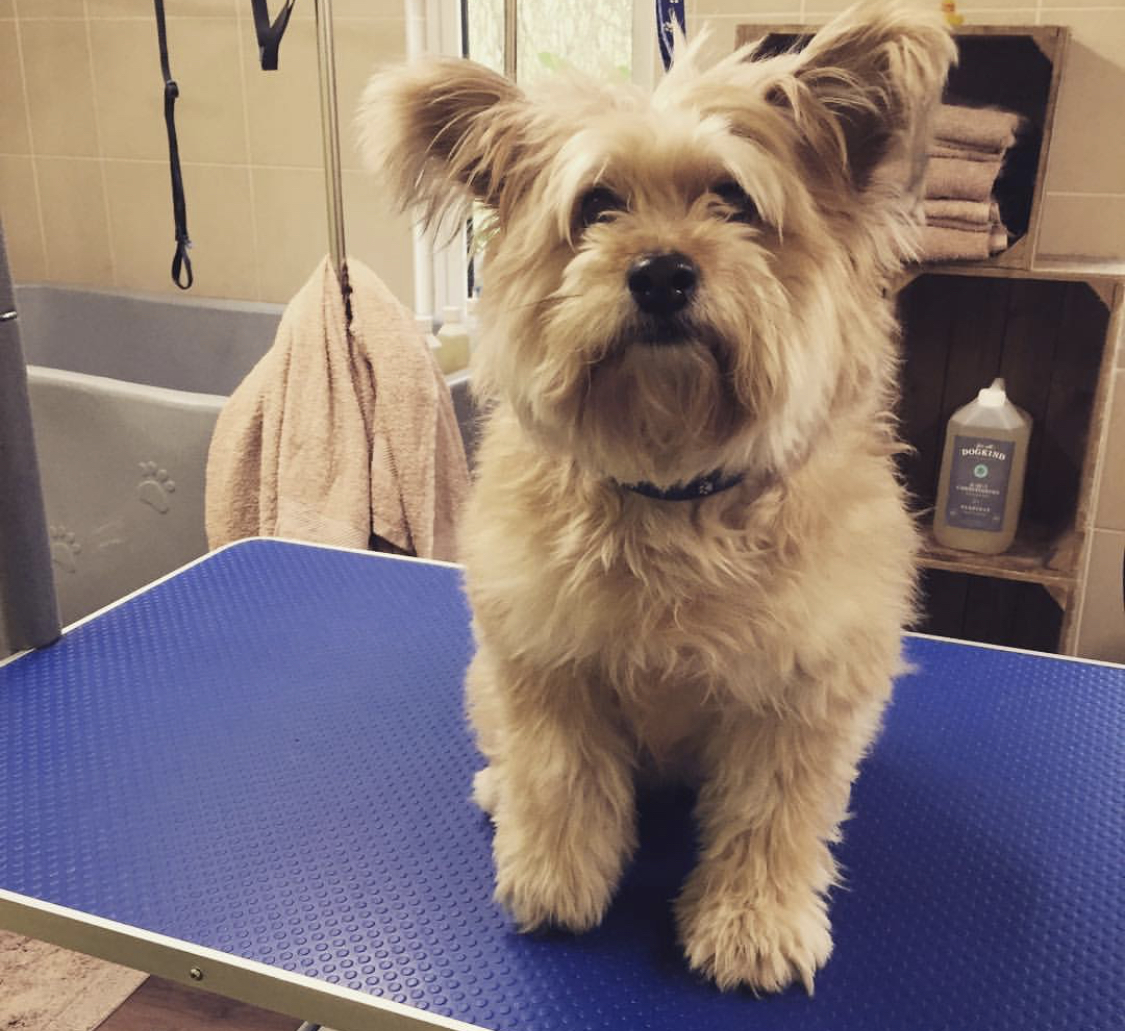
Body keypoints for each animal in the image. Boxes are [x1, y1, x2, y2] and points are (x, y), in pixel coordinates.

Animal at [357, 2, 949, 999]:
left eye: (734, 201)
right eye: (598, 206)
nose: (661, 272)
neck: (675, 491)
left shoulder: (801, 696)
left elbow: (771, 818)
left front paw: (752, 923)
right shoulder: (545, 663)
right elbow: (558, 777)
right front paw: (553, 880)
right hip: (488, 678)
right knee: (508, 750)